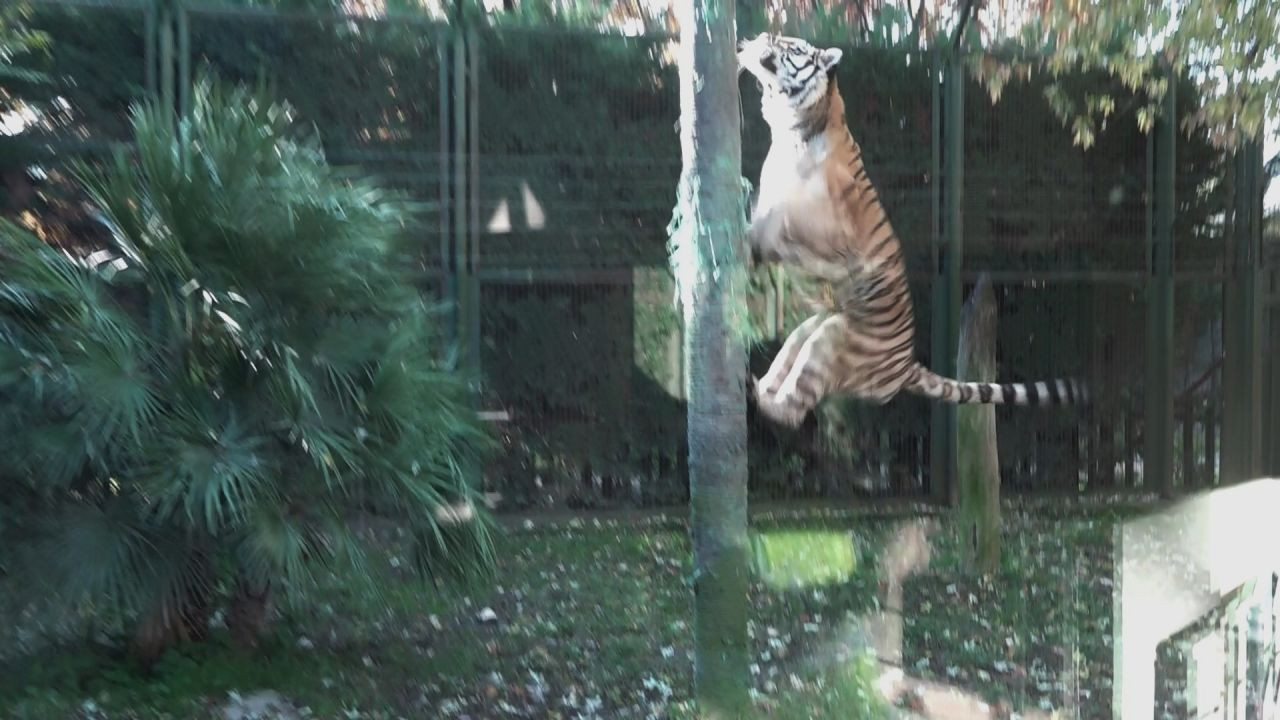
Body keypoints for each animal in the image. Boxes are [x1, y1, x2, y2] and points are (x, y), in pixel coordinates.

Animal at [737, 32, 1085, 425]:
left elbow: (785, 238)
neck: (795, 128)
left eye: (791, 46)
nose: (762, 36)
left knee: (793, 407)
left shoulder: (829, 240)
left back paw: (758, 397)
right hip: (815, 328)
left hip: (833, 341)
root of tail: (907, 366)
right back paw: (757, 384)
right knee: (790, 358)